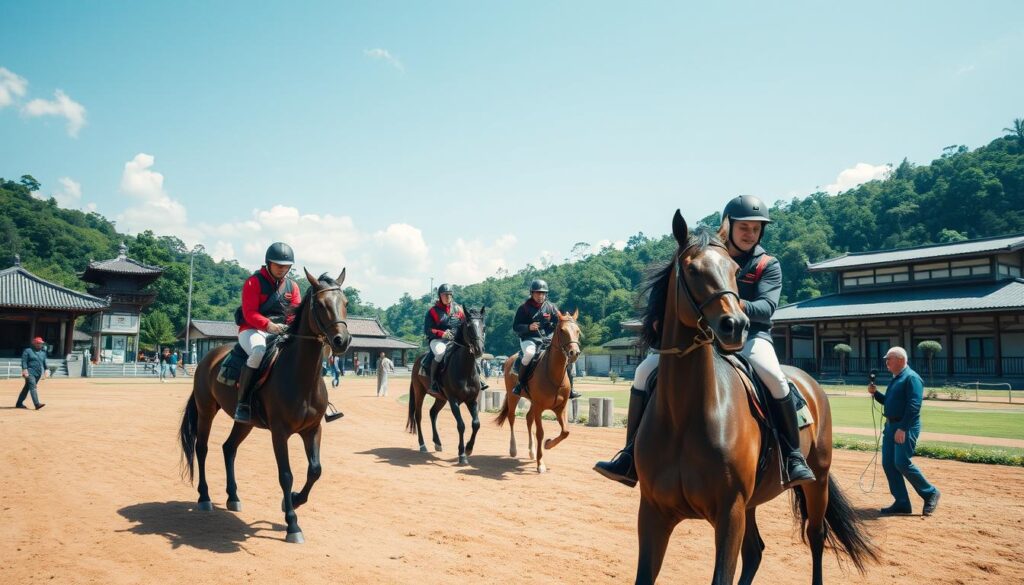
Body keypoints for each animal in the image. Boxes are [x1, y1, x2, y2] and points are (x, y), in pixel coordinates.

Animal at [177, 270, 352, 545]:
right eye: (321, 305)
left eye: (345, 303)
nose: (341, 341)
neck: (301, 377)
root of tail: (209, 357)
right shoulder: (279, 433)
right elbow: (286, 475)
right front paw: (292, 524)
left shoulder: (312, 430)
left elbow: (315, 470)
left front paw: (294, 500)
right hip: (206, 411)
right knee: (202, 449)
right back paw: (204, 497)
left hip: (244, 422)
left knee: (229, 448)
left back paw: (233, 496)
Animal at [405, 307, 485, 467]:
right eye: (469, 327)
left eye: (483, 327)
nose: (479, 349)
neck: (464, 368)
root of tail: (417, 361)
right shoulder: (454, 401)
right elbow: (461, 425)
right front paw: (462, 454)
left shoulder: (472, 401)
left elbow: (476, 424)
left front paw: (469, 448)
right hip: (420, 393)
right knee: (418, 416)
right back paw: (422, 445)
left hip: (441, 399)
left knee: (432, 413)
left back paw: (437, 442)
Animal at [497, 309, 585, 473]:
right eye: (562, 330)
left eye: (577, 331)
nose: (574, 353)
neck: (553, 374)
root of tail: (509, 359)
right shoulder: (539, 407)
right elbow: (540, 433)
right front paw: (540, 463)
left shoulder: (561, 408)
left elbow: (565, 431)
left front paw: (548, 444)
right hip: (513, 397)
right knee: (512, 418)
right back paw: (513, 449)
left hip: (531, 402)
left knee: (528, 418)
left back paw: (531, 452)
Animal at [630, 212, 872, 585]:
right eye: (692, 269)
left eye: (732, 268)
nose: (735, 325)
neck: (684, 415)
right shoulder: (654, 512)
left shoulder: (729, 512)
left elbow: (722, 576)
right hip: (752, 502)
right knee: (756, 551)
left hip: (816, 479)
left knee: (816, 537)